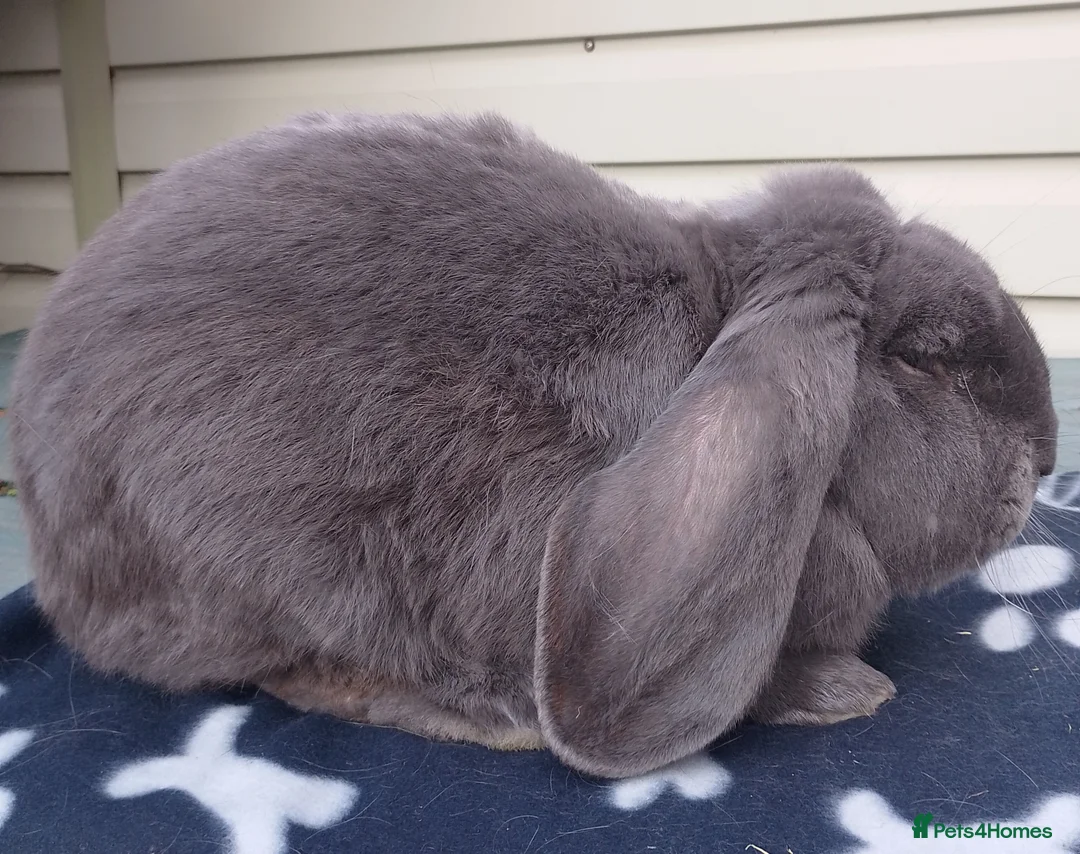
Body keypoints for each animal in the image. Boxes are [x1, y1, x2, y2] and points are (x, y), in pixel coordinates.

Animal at [9, 111, 1058, 779]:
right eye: (927, 356)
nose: (1046, 458)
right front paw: (849, 692)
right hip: (261, 563)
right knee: (303, 674)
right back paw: (501, 720)